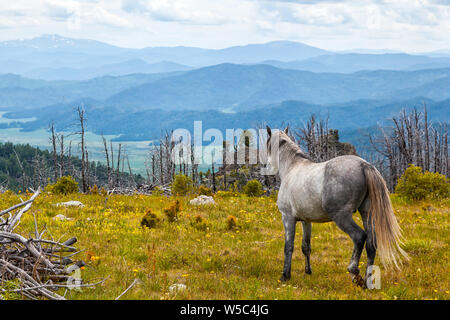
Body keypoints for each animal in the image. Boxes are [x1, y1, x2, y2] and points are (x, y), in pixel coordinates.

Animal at [266, 126, 410, 286]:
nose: (267, 168)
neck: (292, 168)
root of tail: (364, 165)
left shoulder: (288, 218)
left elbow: (288, 247)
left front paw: (285, 275)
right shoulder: (306, 221)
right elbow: (306, 247)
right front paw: (308, 271)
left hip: (342, 217)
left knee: (359, 237)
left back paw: (354, 273)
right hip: (366, 213)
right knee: (371, 244)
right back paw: (367, 281)